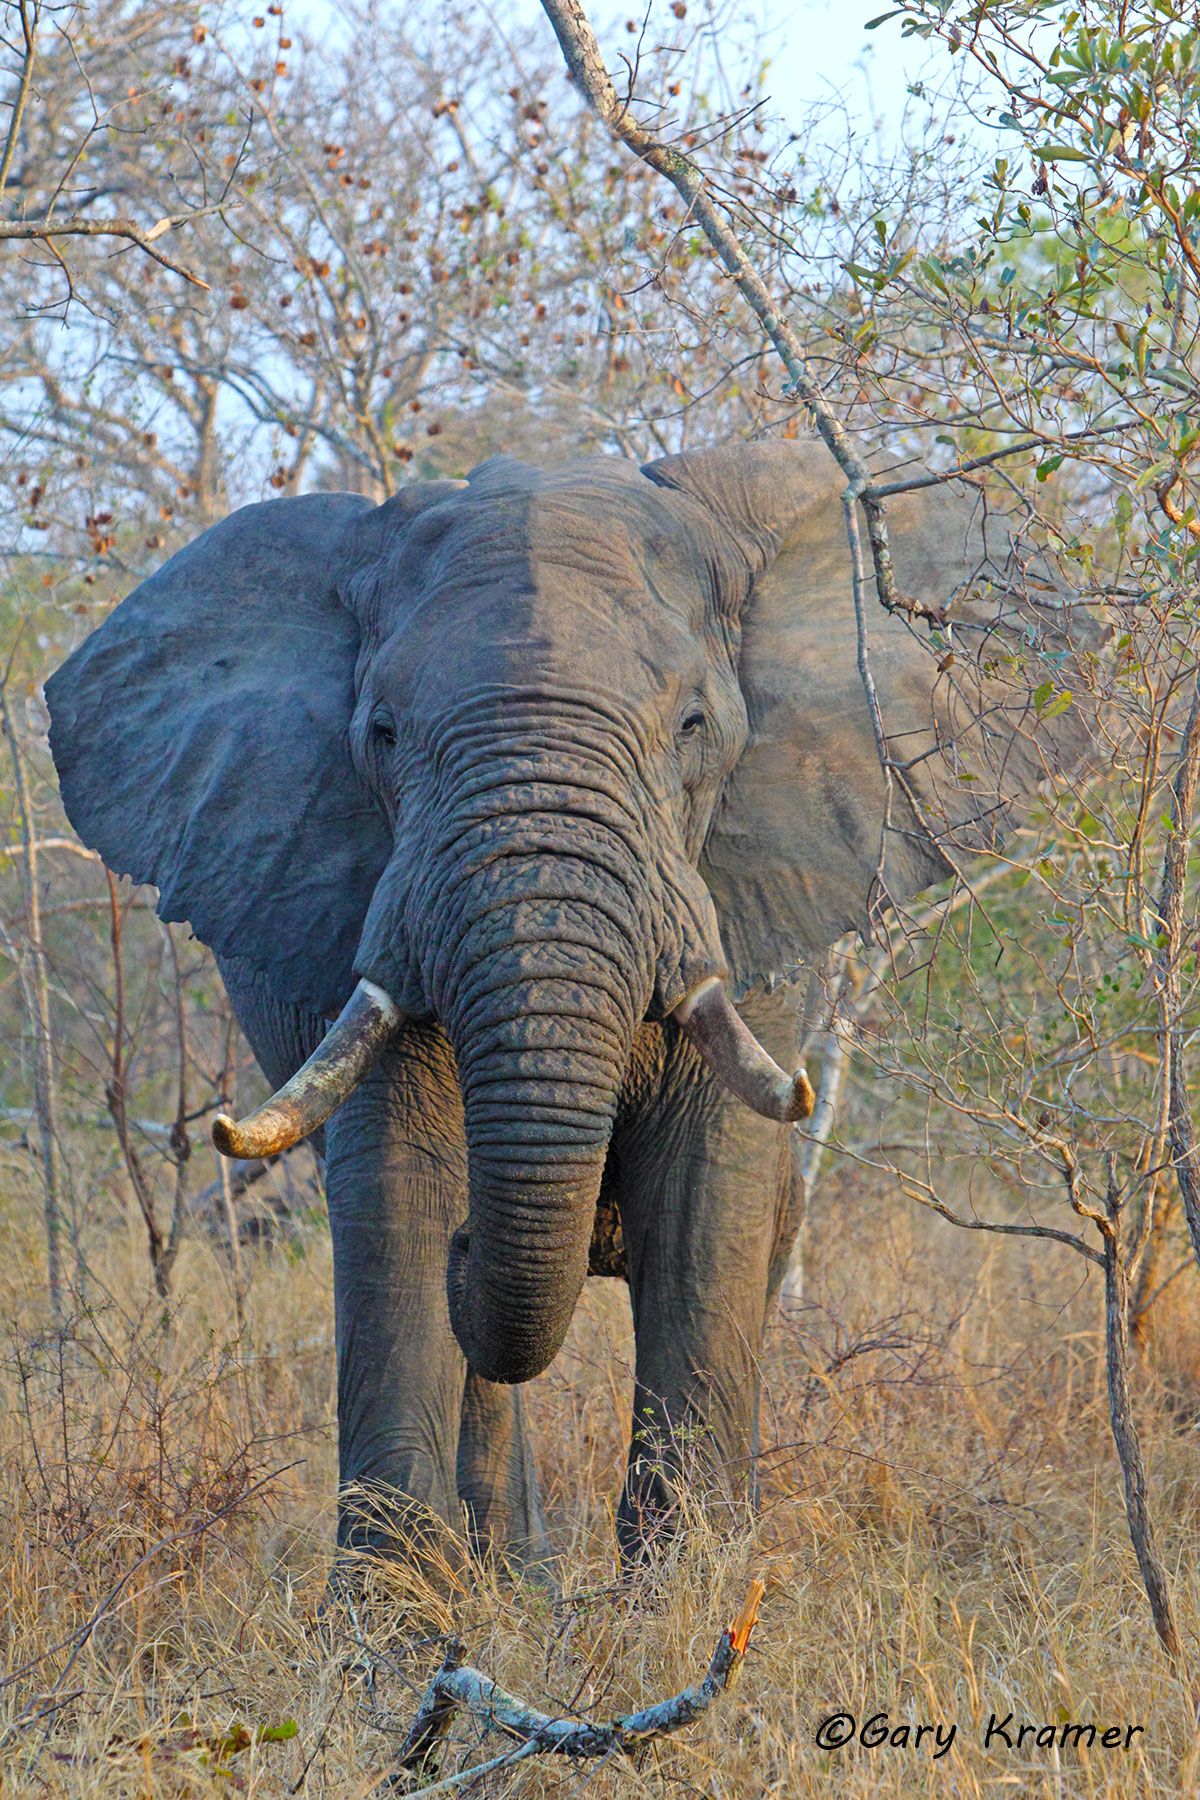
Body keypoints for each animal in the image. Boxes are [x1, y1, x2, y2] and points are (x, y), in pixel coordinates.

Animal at [46, 438, 1089, 1569]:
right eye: (382, 732)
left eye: (693, 726)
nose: (472, 1253)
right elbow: (402, 1178)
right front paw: (394, 1610)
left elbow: (707, 1193)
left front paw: (692, 1589)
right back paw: (510, 1575)